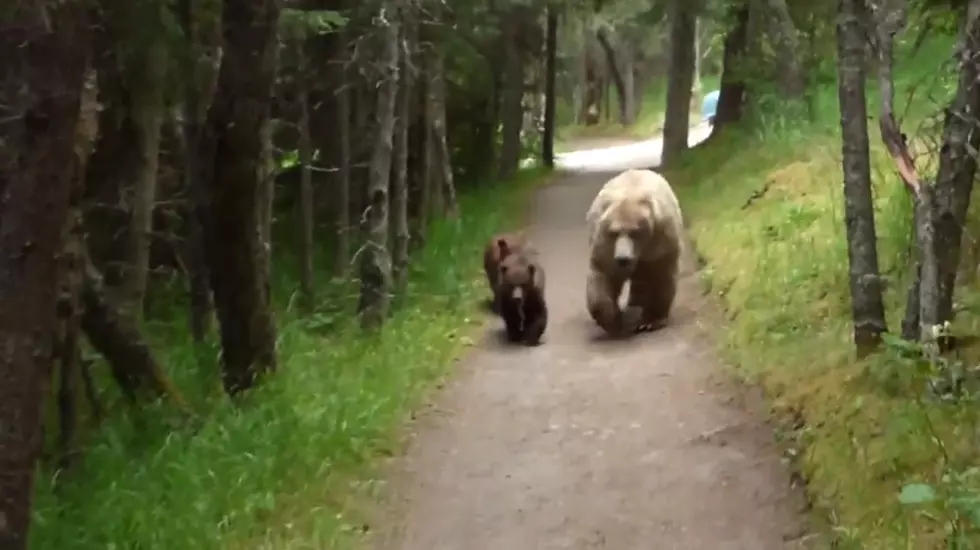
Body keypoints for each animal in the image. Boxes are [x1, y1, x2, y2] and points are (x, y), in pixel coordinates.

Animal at [584, 168, 684, 338]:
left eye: (635, 232)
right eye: (614, 232)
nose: (623, 258)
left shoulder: (660, 240)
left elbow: (661, 276)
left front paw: (651, 321)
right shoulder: (606, 246)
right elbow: (602, 276)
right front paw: (613, 321)